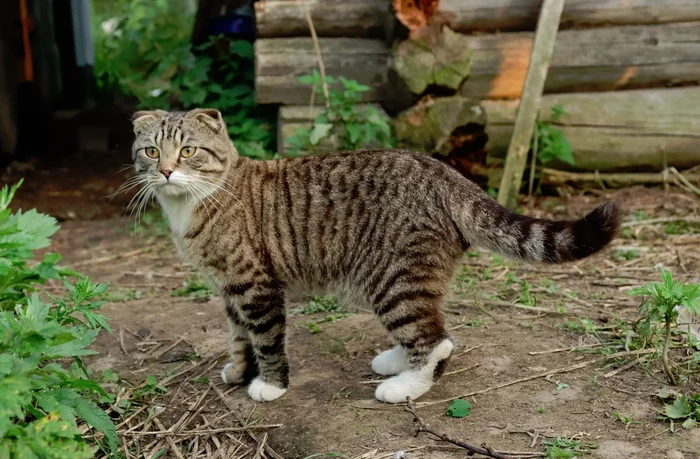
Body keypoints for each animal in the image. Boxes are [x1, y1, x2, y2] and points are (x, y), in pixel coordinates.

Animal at [129, 109, 620, 404]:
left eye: (188, 150)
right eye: (151, 151)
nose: (166, 170)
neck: (195, 202)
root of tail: (446, 173)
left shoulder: (255, 285)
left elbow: (266, 339)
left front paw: (268, 383)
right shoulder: (230, 288)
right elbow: (239, 336)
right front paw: (239, 369)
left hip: (391, 278)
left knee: (436, 340)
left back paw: (404, 385)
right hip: (404, 280)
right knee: (429, 327)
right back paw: (396, 362)